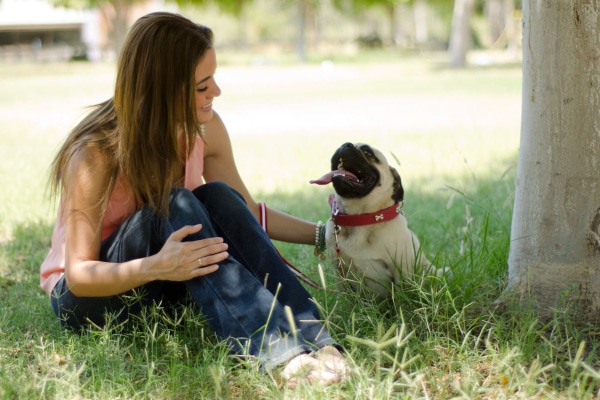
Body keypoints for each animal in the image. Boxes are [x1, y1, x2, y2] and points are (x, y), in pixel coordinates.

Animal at [310, 142, 446, 298]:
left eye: (368, 153)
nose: (345, 145)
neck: (359, 219)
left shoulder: (402, 272)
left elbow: (402, 298)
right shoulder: (339, 272)